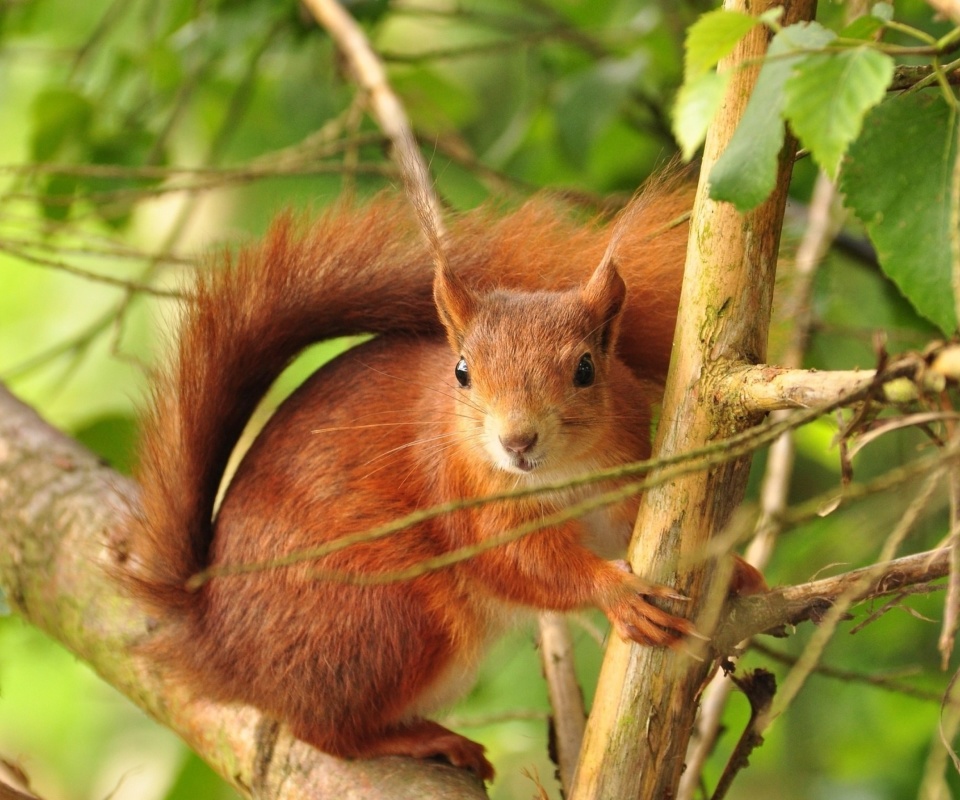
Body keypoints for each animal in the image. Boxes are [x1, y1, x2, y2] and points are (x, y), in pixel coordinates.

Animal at [125, 180, 764, 780]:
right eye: (462, 372)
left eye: (586, 369)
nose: (517, 441)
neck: (561, 474)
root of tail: (219, 647)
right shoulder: (462, 494)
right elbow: (520, 562)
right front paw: (617, 594)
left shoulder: (621, 476)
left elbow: (636, 527)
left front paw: (732, 568)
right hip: (391, 617)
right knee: (325, 732)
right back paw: (420, 738)